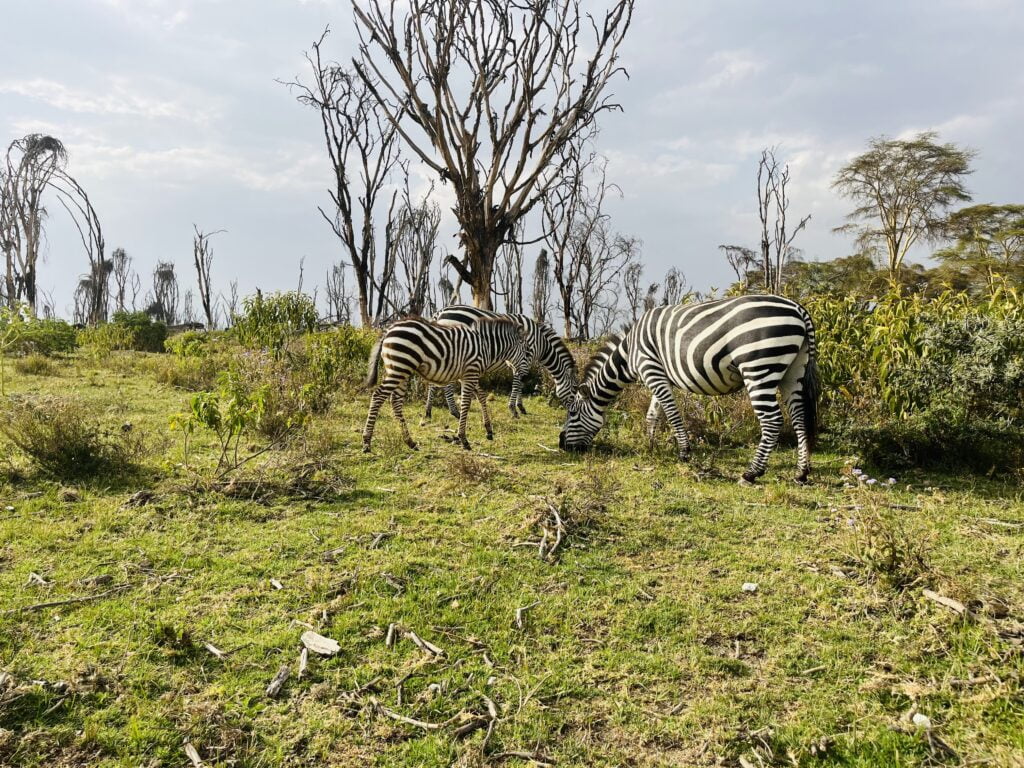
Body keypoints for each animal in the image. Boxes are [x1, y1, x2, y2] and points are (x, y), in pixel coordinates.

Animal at [362, 317, 528, 450]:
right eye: (527, 353)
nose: (525, 377)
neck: (486, 346)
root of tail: (388, 330)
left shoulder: (467, 375)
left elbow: (481, 396)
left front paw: (488, 430)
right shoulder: (471, 372)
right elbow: (466, 403)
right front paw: (463, 439)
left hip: (400, 370)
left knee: (395, 401)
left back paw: (410, 442)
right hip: (400, 367)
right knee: (378, 396)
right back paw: (367, 442)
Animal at [423, 303, 581, 417]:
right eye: (575, 389)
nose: (573, 411)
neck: (541, 342)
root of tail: (440, 312)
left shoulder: (517, 361)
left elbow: (519, 382)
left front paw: (520, 406)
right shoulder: (524, 359)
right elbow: (518, 382)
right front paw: (514, 409)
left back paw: (429, 410)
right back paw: (454, 410)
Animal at [557, 296, 819, 487]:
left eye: (572, 413)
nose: (562, 446)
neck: (629, 352)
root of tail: (798, 309)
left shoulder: (651, 369)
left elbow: (672, 414)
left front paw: (683, 453)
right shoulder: (660, 375)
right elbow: (653, 414)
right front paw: (650, 447)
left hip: (758, 368)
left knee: (773, 420)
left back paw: (751, 473)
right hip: (793, 372)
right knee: (799, 417)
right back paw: (801, 472)